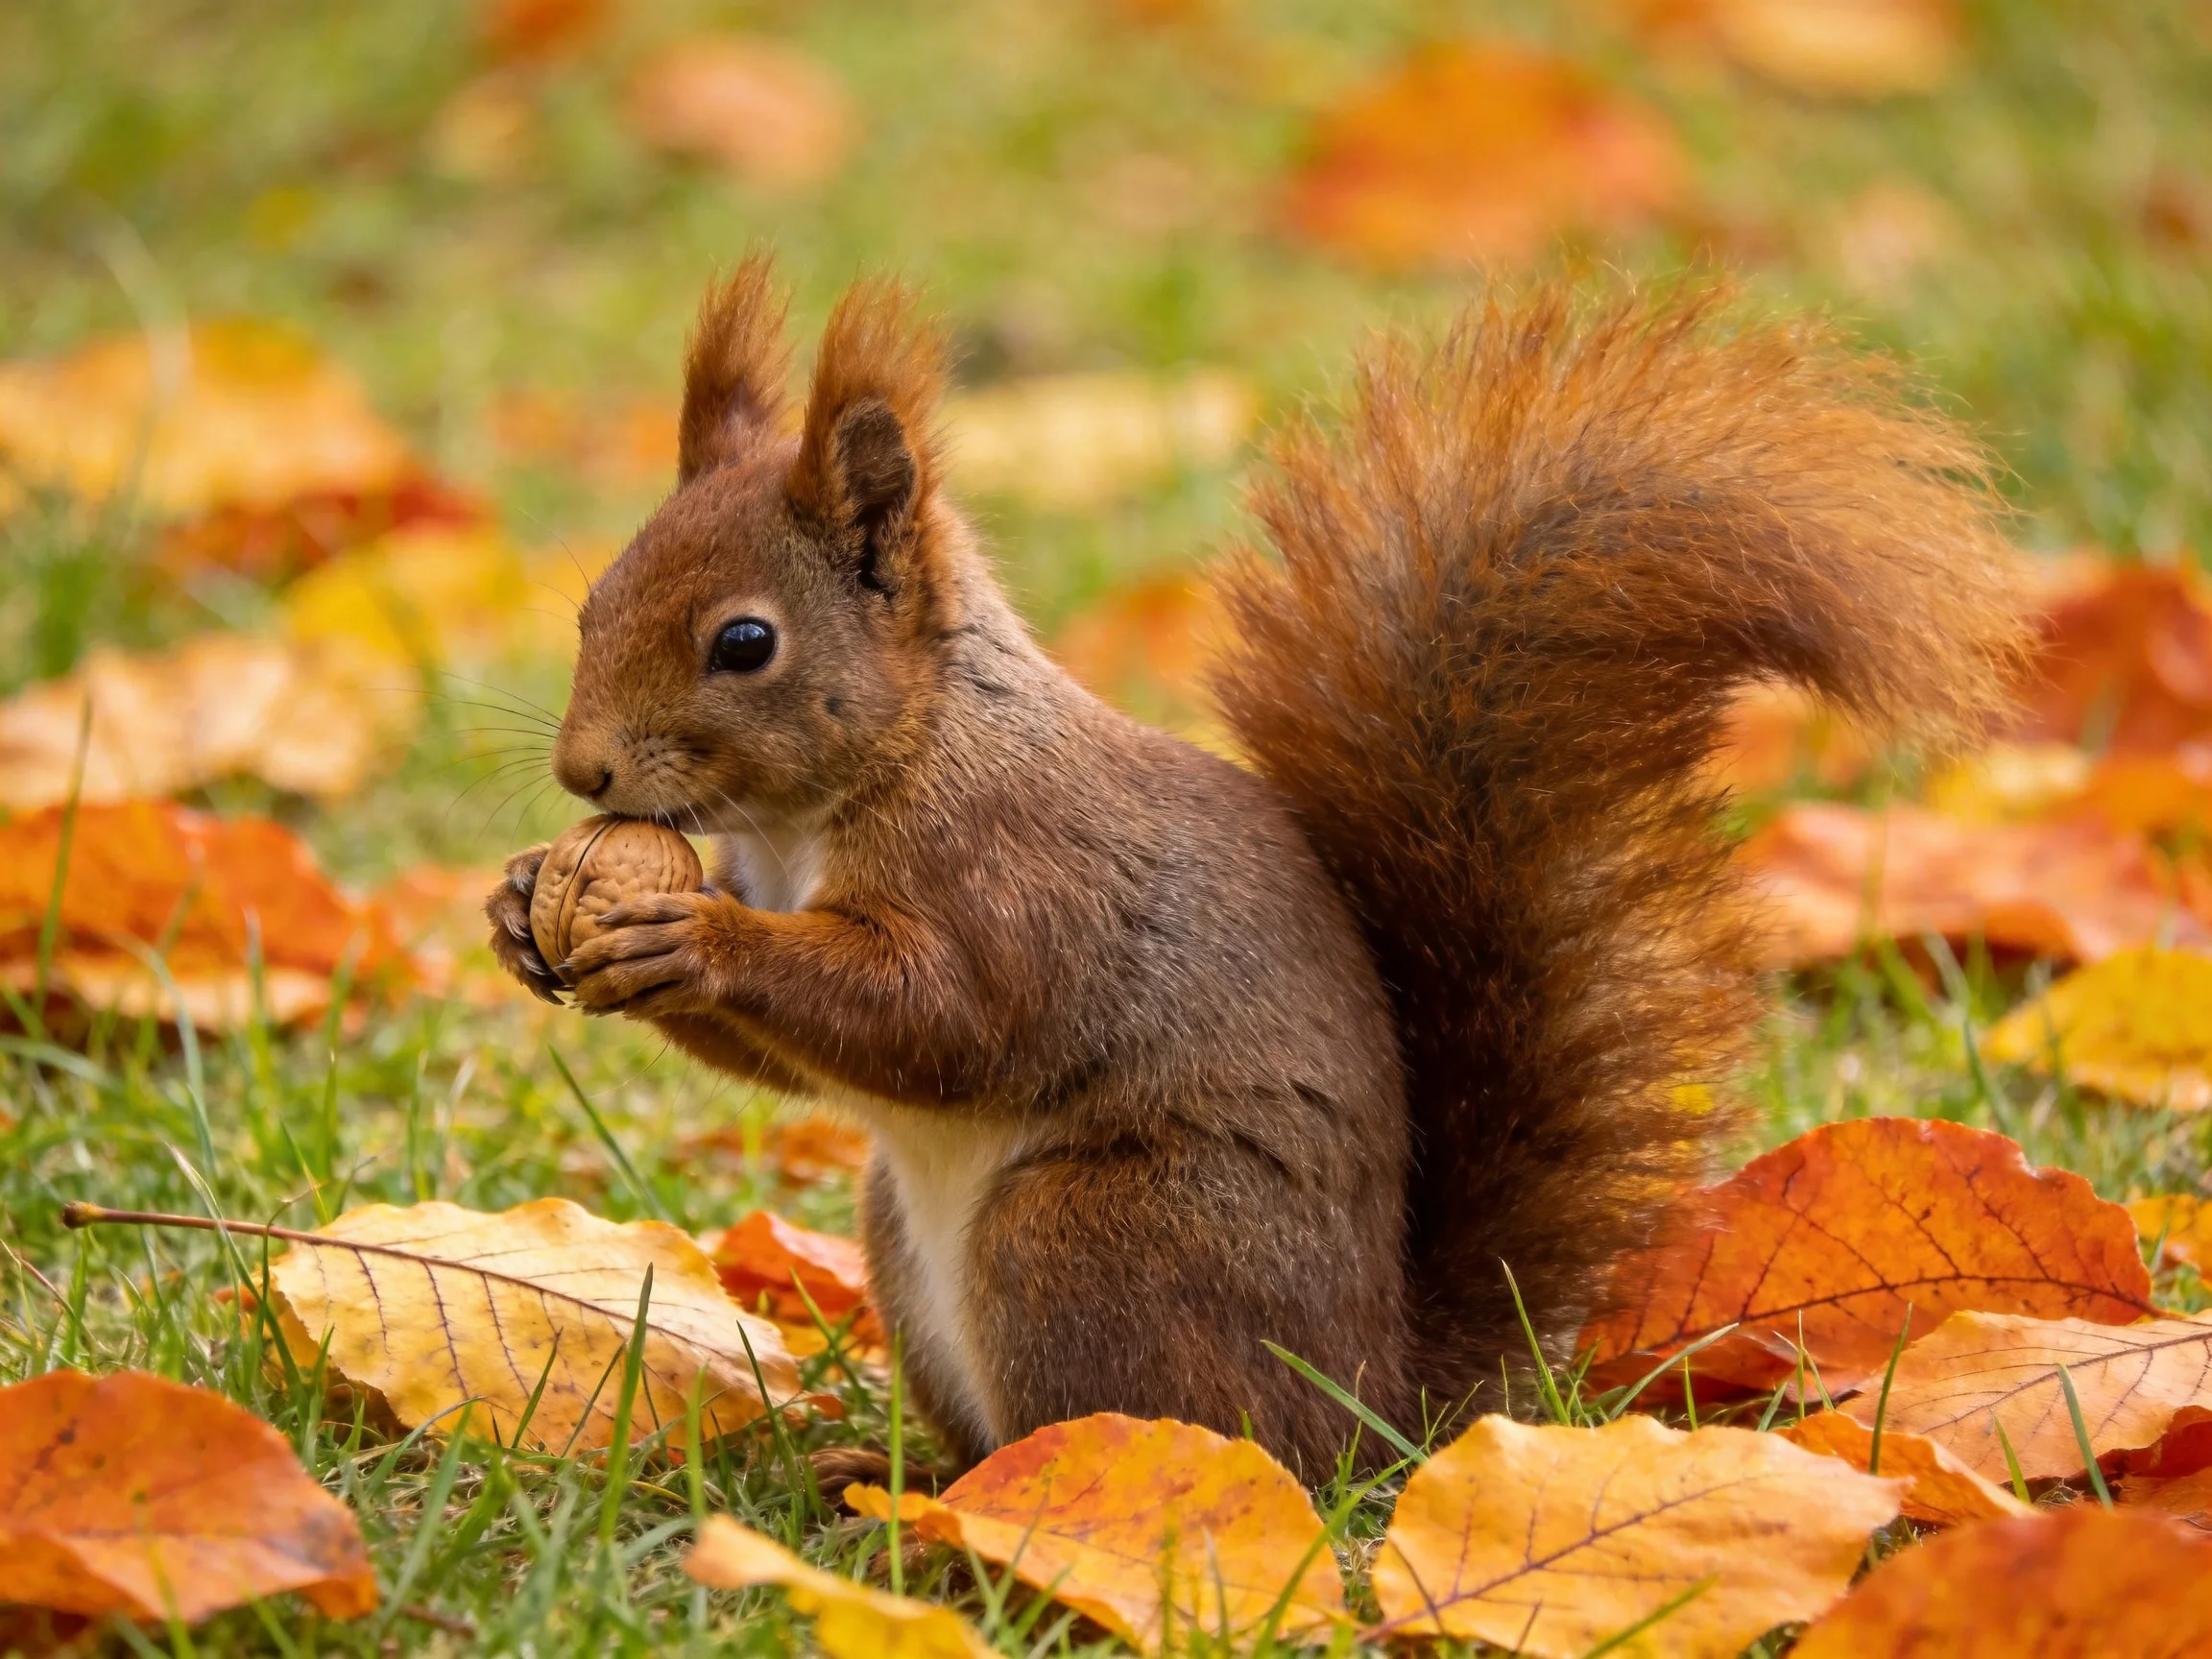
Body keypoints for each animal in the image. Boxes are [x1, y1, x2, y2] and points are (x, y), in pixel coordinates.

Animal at [486, 258, 2029, 1475]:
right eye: (594, 597)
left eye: (746, 643)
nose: (583, 774)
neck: (848, 790)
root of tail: (1378, 1414)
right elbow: (802, 1063)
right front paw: (523, 909)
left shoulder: (1022, 871)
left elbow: (949, 1018)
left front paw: (692, 939)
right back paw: (896, 1476)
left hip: (1092, 1238)